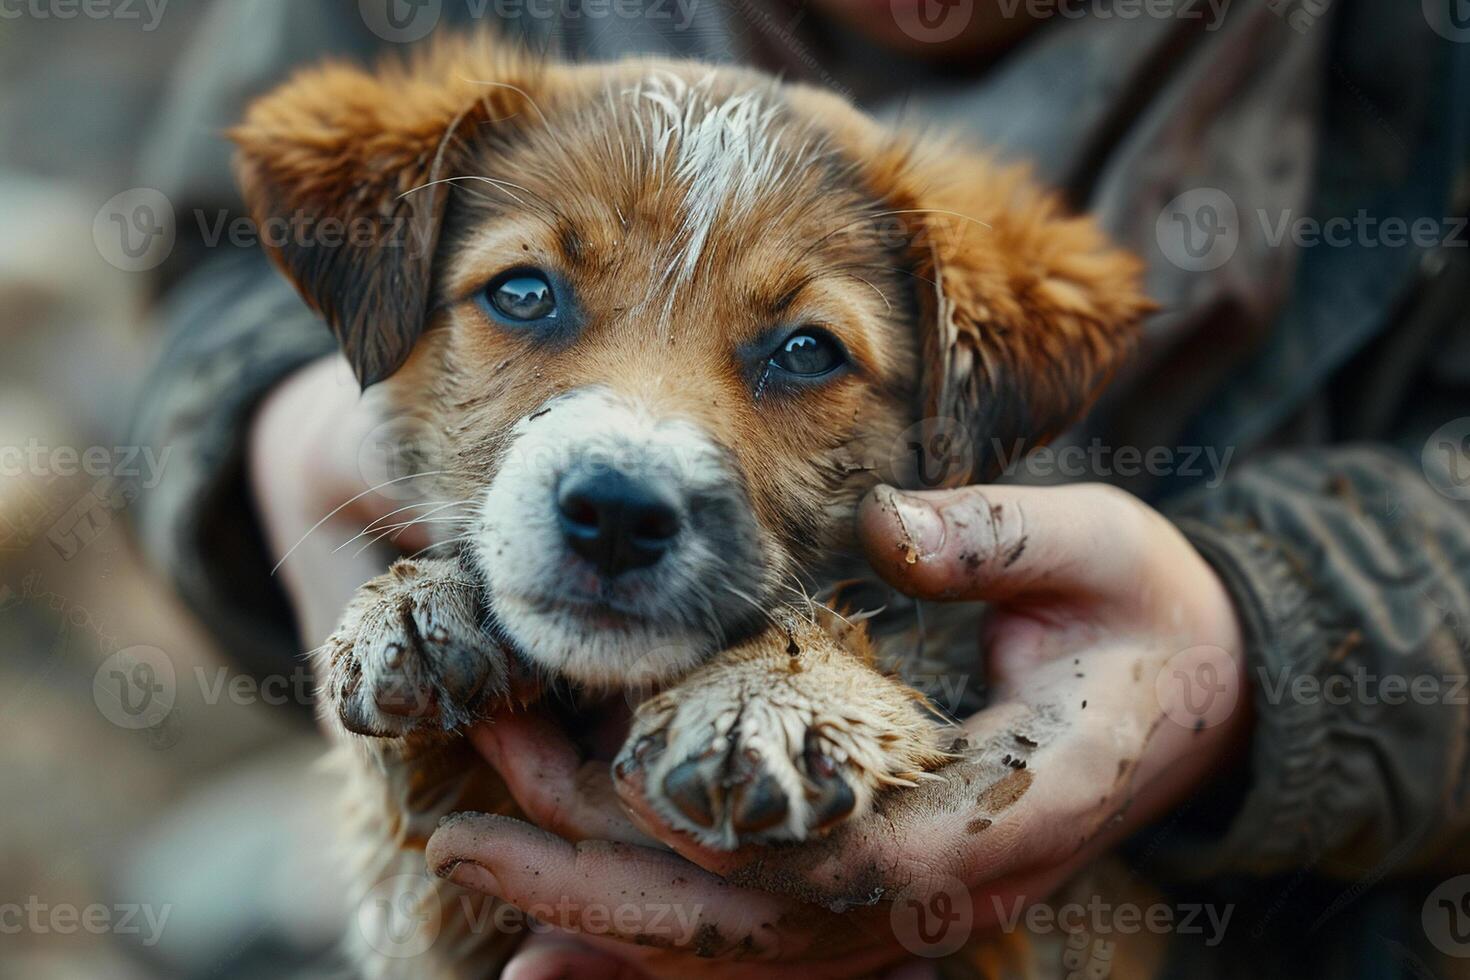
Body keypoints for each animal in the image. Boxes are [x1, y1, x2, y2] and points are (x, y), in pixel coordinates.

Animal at [232, 34, 1146, 975]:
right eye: (523, 294)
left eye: (807, 350)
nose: (617, 515)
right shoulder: (435, 913)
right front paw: (419, 601)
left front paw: (778, 692)